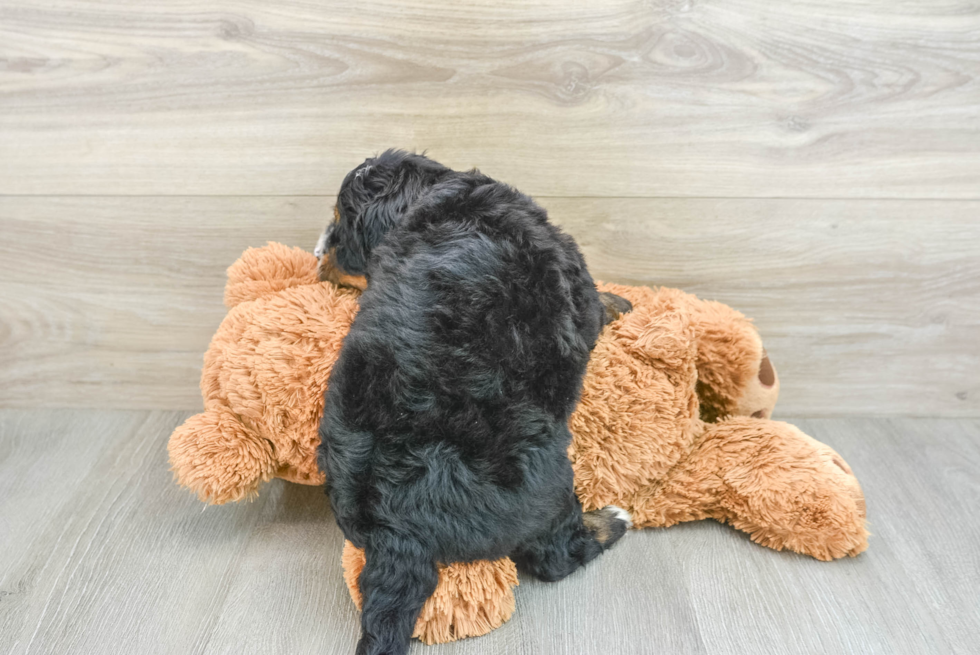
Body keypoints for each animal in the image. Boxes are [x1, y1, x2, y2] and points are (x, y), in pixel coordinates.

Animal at [318, 150, 632, 655]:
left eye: (338, 226)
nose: (317, 259)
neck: (430, 195)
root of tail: (395, 531)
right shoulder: (576, 280)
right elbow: (598, 303)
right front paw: (620, 301)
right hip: (547, 484)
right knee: (555, 556)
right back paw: (611, 520)